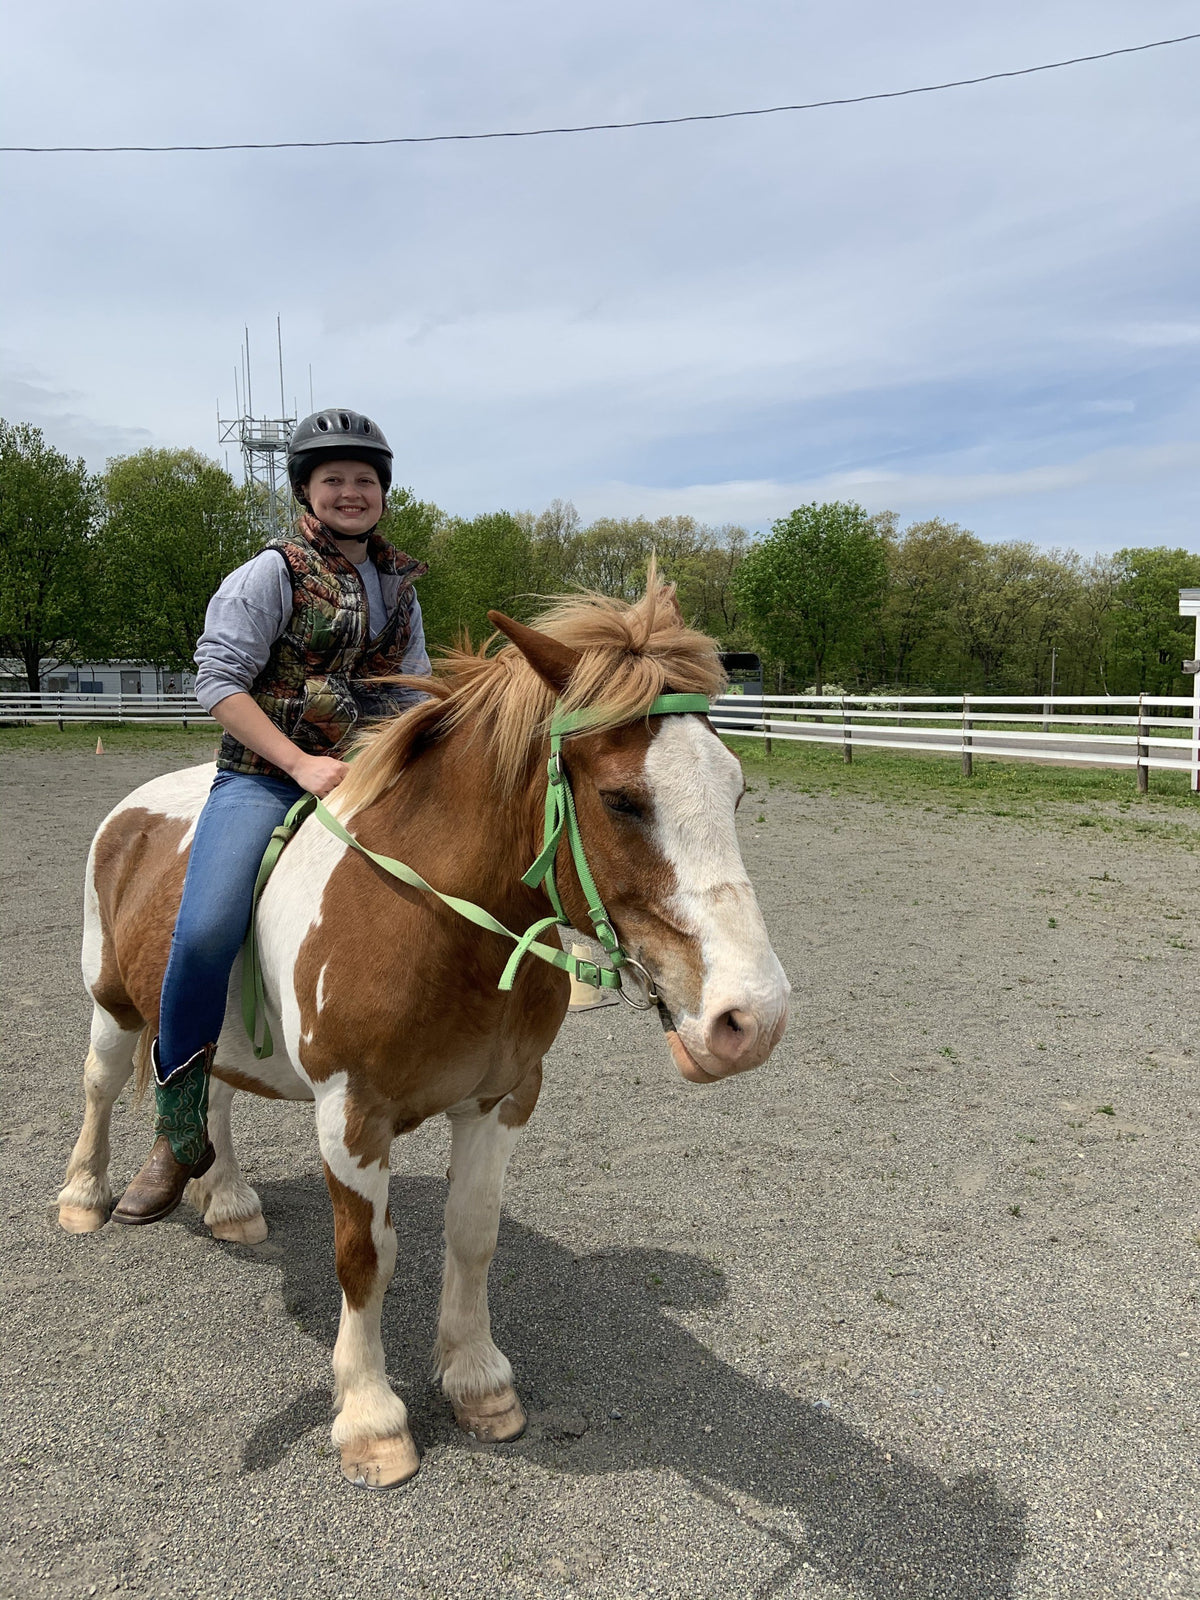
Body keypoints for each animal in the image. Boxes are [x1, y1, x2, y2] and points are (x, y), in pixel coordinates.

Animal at [56, 575, 790, 1488]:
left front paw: (478, 1383)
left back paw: (226, 1201)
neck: (433, 922)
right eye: (623, 799)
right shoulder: (353, 1116)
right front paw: (371, 1421)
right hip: (113, 1003)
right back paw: (87, 1198)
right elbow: (364, 1257)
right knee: (101, 1085)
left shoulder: (501, 1100)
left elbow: (471, 1236)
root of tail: (133, 811)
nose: (751, 1018)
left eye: (736, 791)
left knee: (213, 1094)